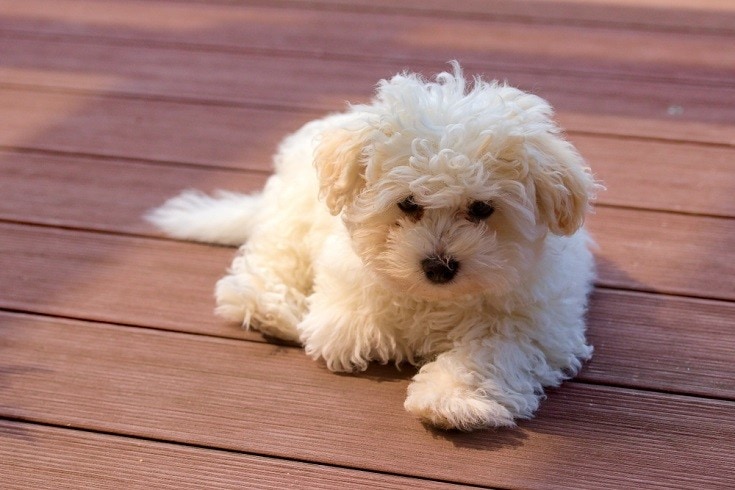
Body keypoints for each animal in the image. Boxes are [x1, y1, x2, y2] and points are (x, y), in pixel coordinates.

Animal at [148, 63, 600, 430]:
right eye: (408, 203)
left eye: (482, 208)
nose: (438, 266)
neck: (437, 300)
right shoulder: (345, 291)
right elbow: (350, 327)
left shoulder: (539, 324)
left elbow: (491, 350)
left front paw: (452, 399)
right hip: (290, 214)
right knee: (273, 257)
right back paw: (266, 309)